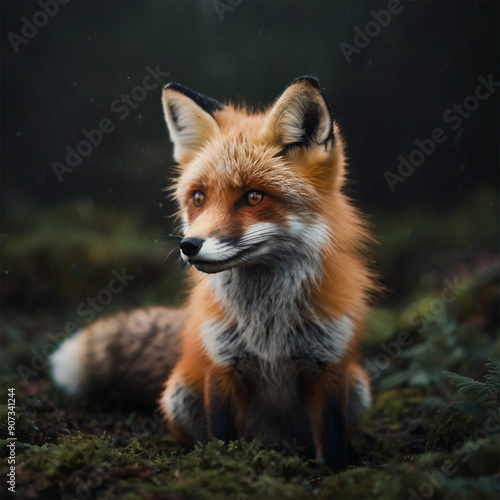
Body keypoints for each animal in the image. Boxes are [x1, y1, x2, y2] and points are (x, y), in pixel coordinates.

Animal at [51, 76, 378, 470]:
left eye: (254, 197)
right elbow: (223, 435)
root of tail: (276, 442)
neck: (268, 326)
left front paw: (337, 471)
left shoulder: (328, 365)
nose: (189, 245)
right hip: (180, 391)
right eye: (198, 198)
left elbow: (330, 441)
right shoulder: (222, 366)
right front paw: (225, 466)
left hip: (357, 386)